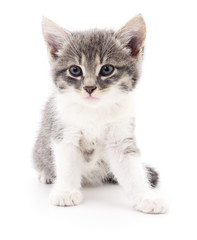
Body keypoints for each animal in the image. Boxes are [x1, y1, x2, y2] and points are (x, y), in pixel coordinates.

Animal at [32, 15, 168, 214]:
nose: (89, 88)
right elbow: (67, 163)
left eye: (106, 69)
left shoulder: (120, 136)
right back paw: (46, 175)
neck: (94, 112)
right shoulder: (64, 131)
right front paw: (65, 192)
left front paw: (146, 197)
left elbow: (132, 170)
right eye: (75, 70)